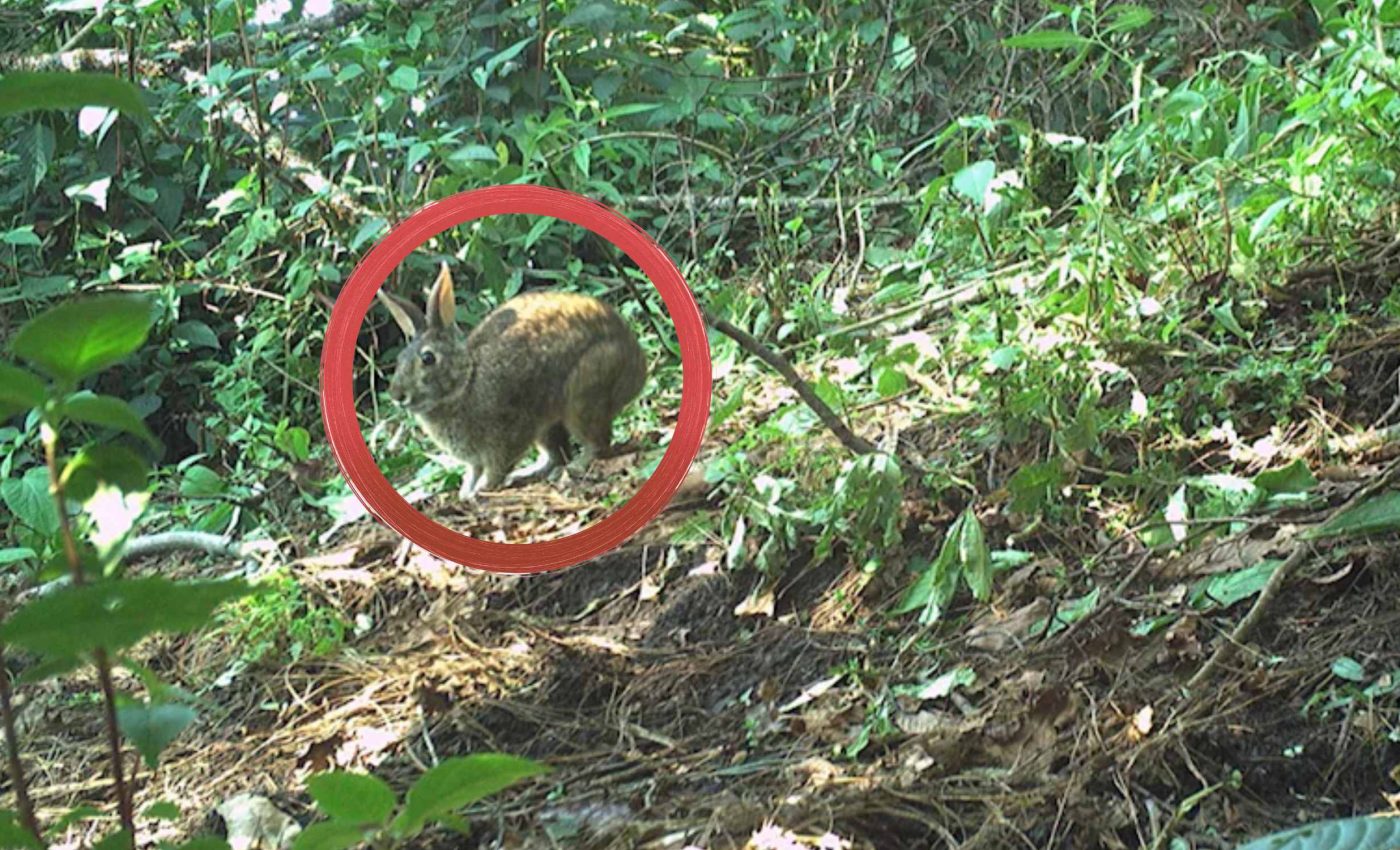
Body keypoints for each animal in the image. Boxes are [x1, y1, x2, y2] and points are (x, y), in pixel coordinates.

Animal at [380, 262, 647, 500]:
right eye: (400, 359)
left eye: (427, 358)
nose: (397, 395)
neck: (466, 382)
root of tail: (637, 367)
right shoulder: (477, 458)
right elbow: (473, 471)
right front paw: (466, 491)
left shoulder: (505, 436)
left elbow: (495, 469)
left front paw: (480, 490)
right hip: (547, 424)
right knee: (557, 453)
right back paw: (526, 474)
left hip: (584, 395)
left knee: (596, 443)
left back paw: (573, 468)